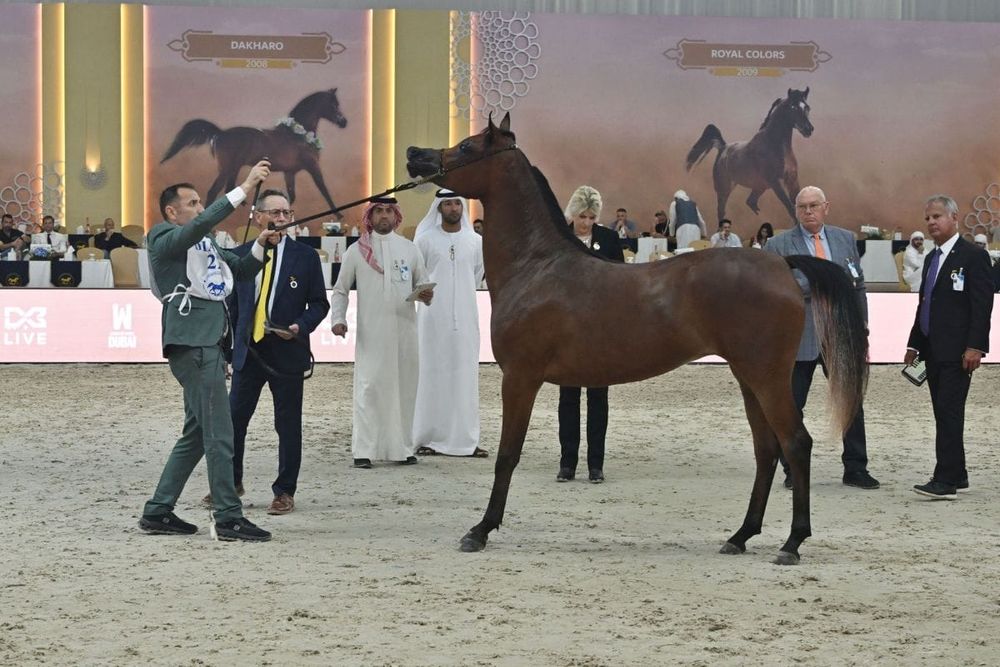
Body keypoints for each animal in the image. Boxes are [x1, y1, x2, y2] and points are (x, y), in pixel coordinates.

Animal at [160, 88, 348, 217]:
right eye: (333, 105)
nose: (344, 122)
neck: (297, 134)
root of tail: (220, 133)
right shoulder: (313, 166)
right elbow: (323, 189)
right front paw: (339, 215)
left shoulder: (289, 172)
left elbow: (290, 196)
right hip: (227, 168)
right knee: (214, 191)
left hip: (234, 168)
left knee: (229, 188)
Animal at [406, 113, 867, 565]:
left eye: (467, 146)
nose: (414, 154)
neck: (536, 267)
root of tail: (781, 263)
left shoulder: (519, 378)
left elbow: (507, 455)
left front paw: (480, 530)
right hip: (749, 378)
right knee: (766, 449)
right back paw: (741, 536)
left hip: (767, 377)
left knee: (796, 443)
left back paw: (792, 542)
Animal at [685, 87, 813, 224]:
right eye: (793, 107)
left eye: (807, 107)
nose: (808, 129)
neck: (775, 145)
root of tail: (723, 148)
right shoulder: (775, 182)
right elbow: (791, 209)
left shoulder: (792, 180)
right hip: (724, 189)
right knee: (722, 211)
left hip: (759, 186)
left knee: (750, 202)